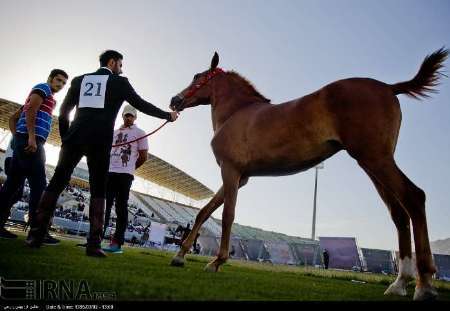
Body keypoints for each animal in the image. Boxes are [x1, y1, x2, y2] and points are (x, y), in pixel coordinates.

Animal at [169, 49, 446, 302]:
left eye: (198, 77)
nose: (174, 100)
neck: (238, 113)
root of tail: (389, 87)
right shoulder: (240, 177)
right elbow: (204, 212)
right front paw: (179, 256)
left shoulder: (231, 171)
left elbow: (227, 215)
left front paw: (217, 261)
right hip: (372, 166)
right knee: (399, 214)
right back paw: (399, 283)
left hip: (377, 160)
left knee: (414, 197)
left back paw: (423, 284)